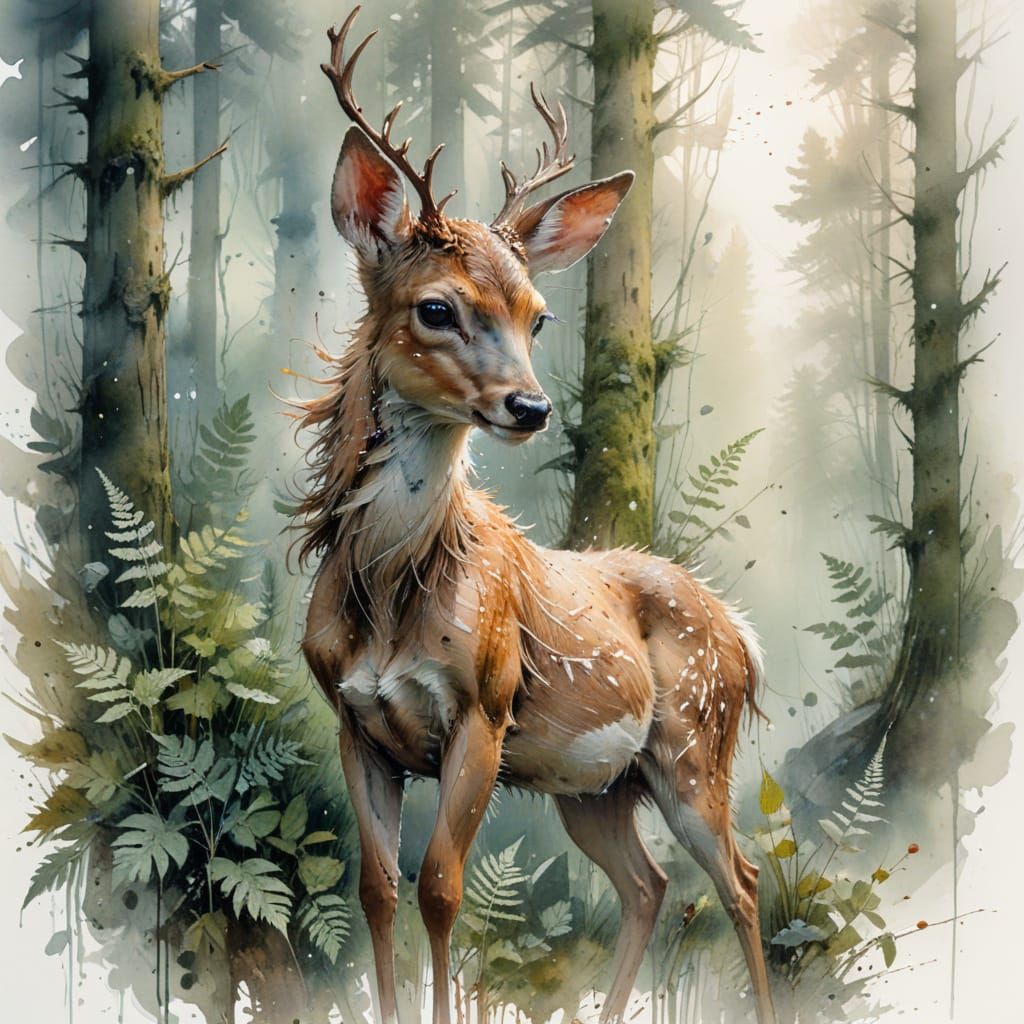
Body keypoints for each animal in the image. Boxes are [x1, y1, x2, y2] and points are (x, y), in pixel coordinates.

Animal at [298, 8, 777, 1024]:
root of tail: (742, 635)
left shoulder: (485, 706)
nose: (529, 407)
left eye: (538, 314)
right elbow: (378, 890)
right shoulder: (356, 723)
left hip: (692, 746)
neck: (392, 598)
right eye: (436, 308)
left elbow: (442, 888)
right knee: (648, 885)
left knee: (740, 880)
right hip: (594, 784)